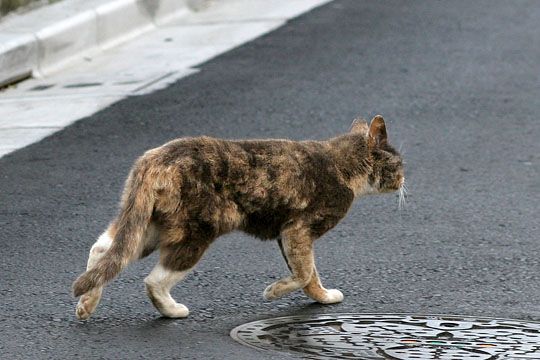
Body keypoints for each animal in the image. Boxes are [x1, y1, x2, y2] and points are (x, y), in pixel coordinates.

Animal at [71, 114, 402, 320]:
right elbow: (305, 272)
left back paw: (86, 304)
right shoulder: (299, 229)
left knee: (104, 249)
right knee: (153, 279)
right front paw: (274, 292)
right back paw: (173, 311)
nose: (403, 181)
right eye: (400, 165)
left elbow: (309, 274)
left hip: (151, 225)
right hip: (195, 232)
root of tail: (153, 160)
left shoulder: (288, 234)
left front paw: (320, 297)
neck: (342, 162)